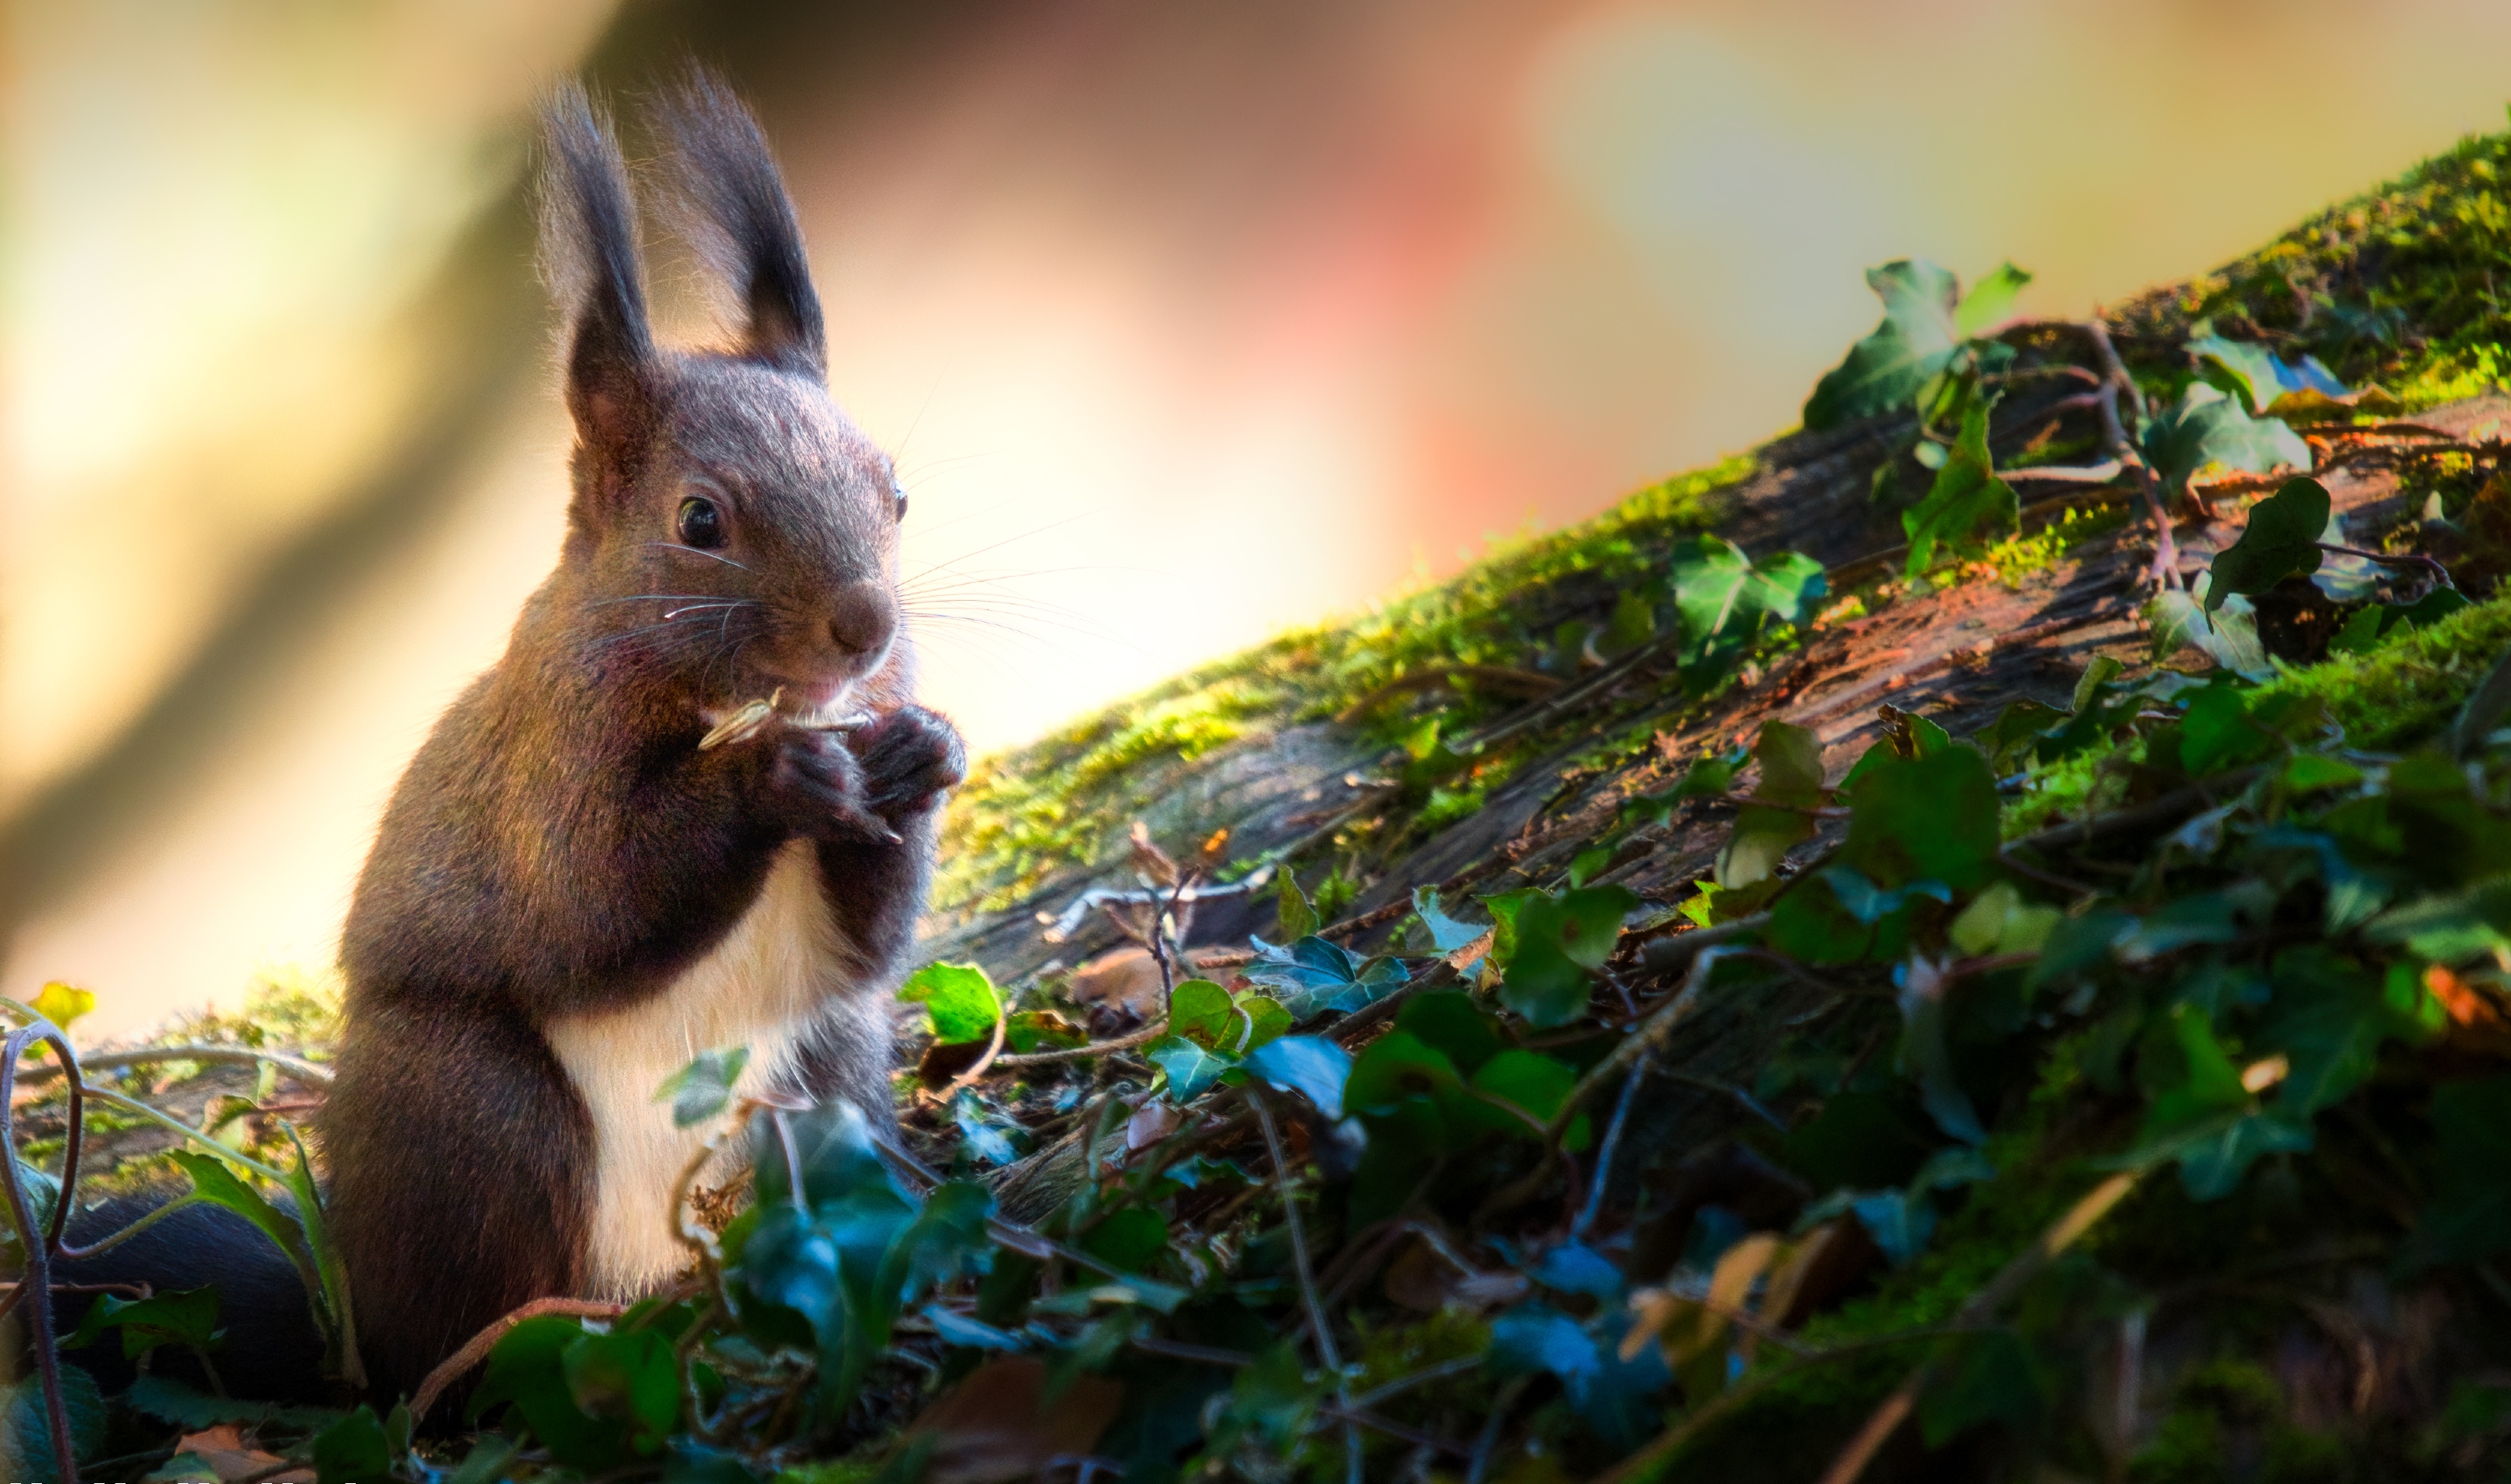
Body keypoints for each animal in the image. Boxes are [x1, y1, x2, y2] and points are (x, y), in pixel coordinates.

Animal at [61, 72, 959, 1406]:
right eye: (700, 521)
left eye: (894, 493)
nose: (866, 625)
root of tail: (351, 1314)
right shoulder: (544, 778)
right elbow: (597, 900)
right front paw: (771, 775)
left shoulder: (843, 951)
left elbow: (865, 946)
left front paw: (923, 758)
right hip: (476, 1114)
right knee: (452, 1344)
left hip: (829, 1078)